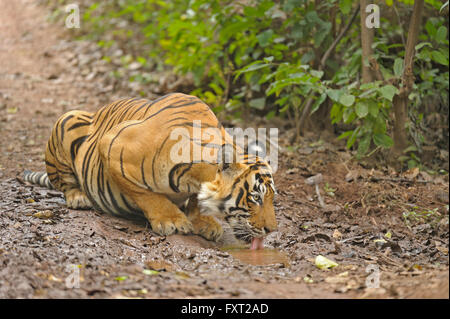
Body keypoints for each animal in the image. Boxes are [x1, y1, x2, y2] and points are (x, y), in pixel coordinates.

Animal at [24, 92, 278, 250]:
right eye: (255, 198)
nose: (272, 230)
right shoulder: (112, 147)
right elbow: (147, 195)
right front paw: (171, 220)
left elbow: (196, 200)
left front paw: (203, 222)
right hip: (68, 118)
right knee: (65, 182)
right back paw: (78, 197)